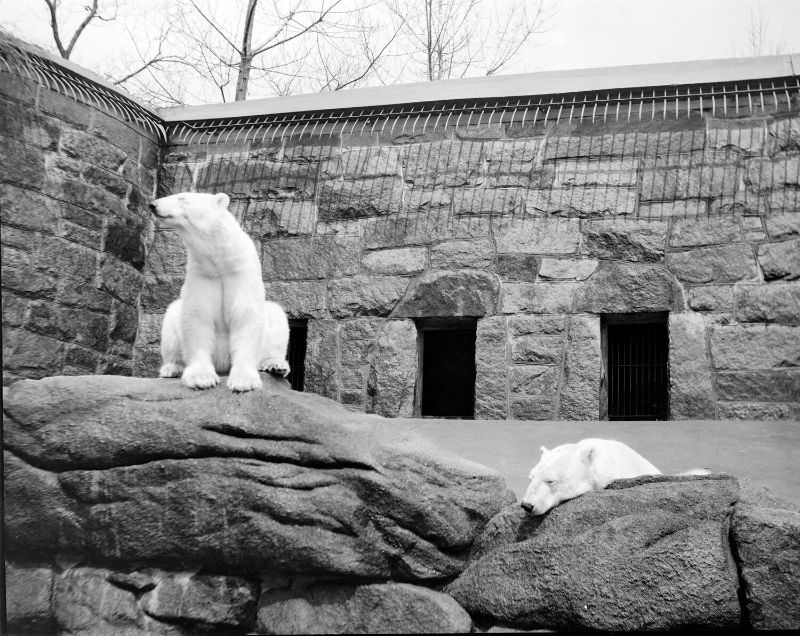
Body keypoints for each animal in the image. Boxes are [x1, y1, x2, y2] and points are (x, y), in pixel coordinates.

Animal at [149, 191, 290, 392]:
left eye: (182, 198)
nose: (153, 205)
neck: (219, 260)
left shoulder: (241, 273)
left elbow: (245, 316)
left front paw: (243, 381)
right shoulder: (202, 274)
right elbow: (197, 317)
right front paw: (201, 378)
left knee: (276, 315)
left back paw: (275, 365)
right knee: (171, 318)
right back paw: (172, 368)